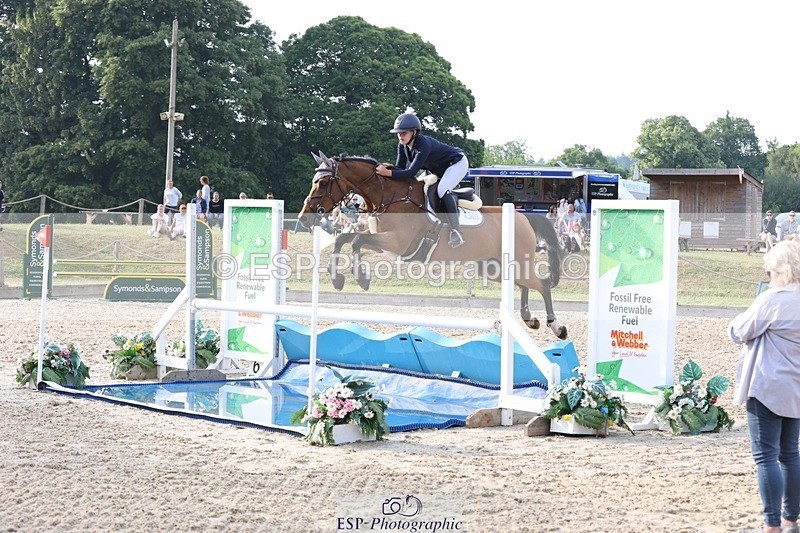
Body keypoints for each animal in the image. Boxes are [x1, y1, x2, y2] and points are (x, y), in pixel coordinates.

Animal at [298, 152, 568, 340]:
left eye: (323, 183)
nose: (304, 218)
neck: (389, 195)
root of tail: (524, 216)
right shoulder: (383, 241)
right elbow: (344, 239)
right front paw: (337, 280)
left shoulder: (398, 242)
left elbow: (355, 241)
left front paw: (362, 279)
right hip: (494, 268)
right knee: (525, 284)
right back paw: (529, 318)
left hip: (514, 263)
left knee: (542, 284)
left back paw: (556, 327)